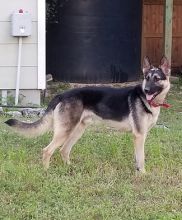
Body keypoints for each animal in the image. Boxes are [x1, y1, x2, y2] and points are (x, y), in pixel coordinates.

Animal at [4, 56, 171, 172]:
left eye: (156, 79)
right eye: (146, 78)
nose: (147, 90)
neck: (148, 100)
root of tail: (61, 95)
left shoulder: (140, 135)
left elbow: (138, 157)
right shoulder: (139, 135)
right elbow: (141, 158)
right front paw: (142, 173)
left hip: (77, 130)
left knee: (64, 150)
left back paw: (70, 168)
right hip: (65, 131)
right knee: (47, 150)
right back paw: (46, 171)